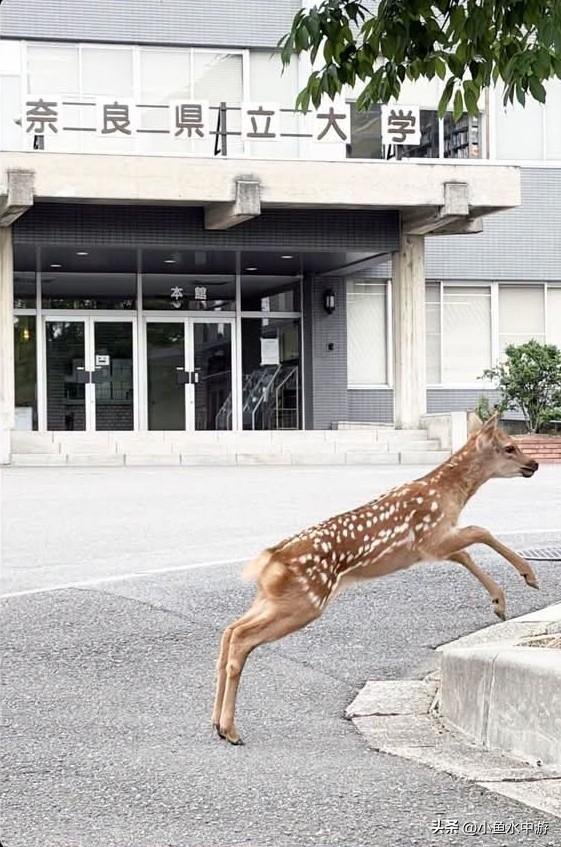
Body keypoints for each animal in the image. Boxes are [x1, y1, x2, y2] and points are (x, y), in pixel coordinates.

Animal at [212, 414, 539, 745]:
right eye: (510, 447)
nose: (534, 464)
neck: (450, 495)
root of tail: (271, 559)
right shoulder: (431, 535)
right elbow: (480, 531)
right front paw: (529, 575)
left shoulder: (433, 546)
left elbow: (466, 554)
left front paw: (500, 601)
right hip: (306, 601)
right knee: (242, 638)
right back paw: (231, 729)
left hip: (274, 598)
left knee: (230, 630)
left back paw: (217, 723)